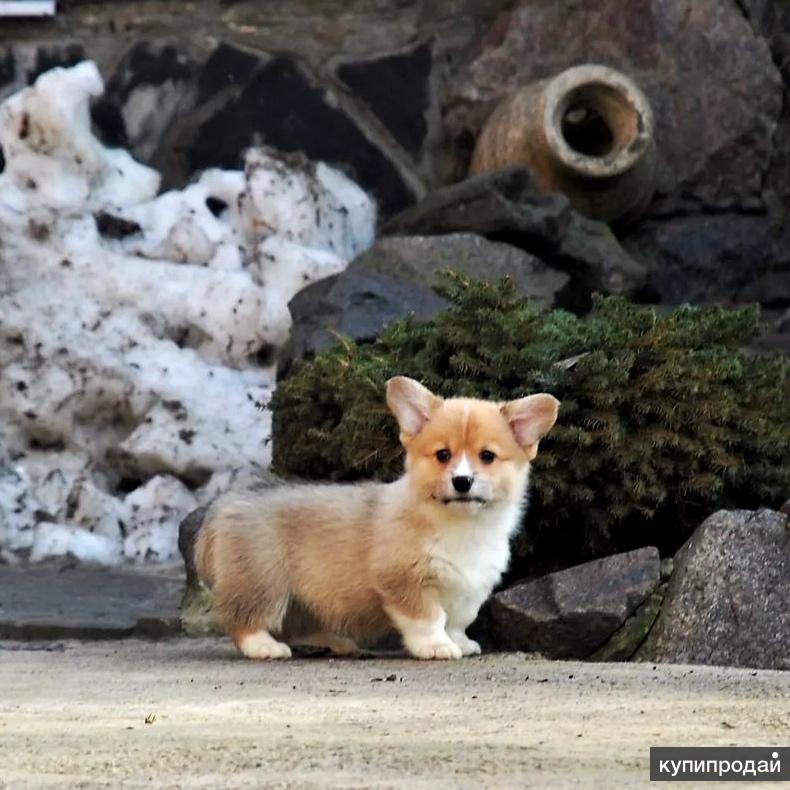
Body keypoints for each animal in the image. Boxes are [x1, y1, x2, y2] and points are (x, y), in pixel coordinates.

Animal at [195, 378, 560, 664]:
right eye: (443, 455)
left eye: (487, 456)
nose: (462, 482)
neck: (460, 526)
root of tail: (223, 507)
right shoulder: (404, 580)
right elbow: (429, 618)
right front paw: (436, 646)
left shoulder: (468, 587)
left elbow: (456, 620)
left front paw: (459, 642)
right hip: (263, 581)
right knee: (243, 618)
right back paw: (264, 647)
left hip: (300, 595)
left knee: (295, 624)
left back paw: (334, 642)